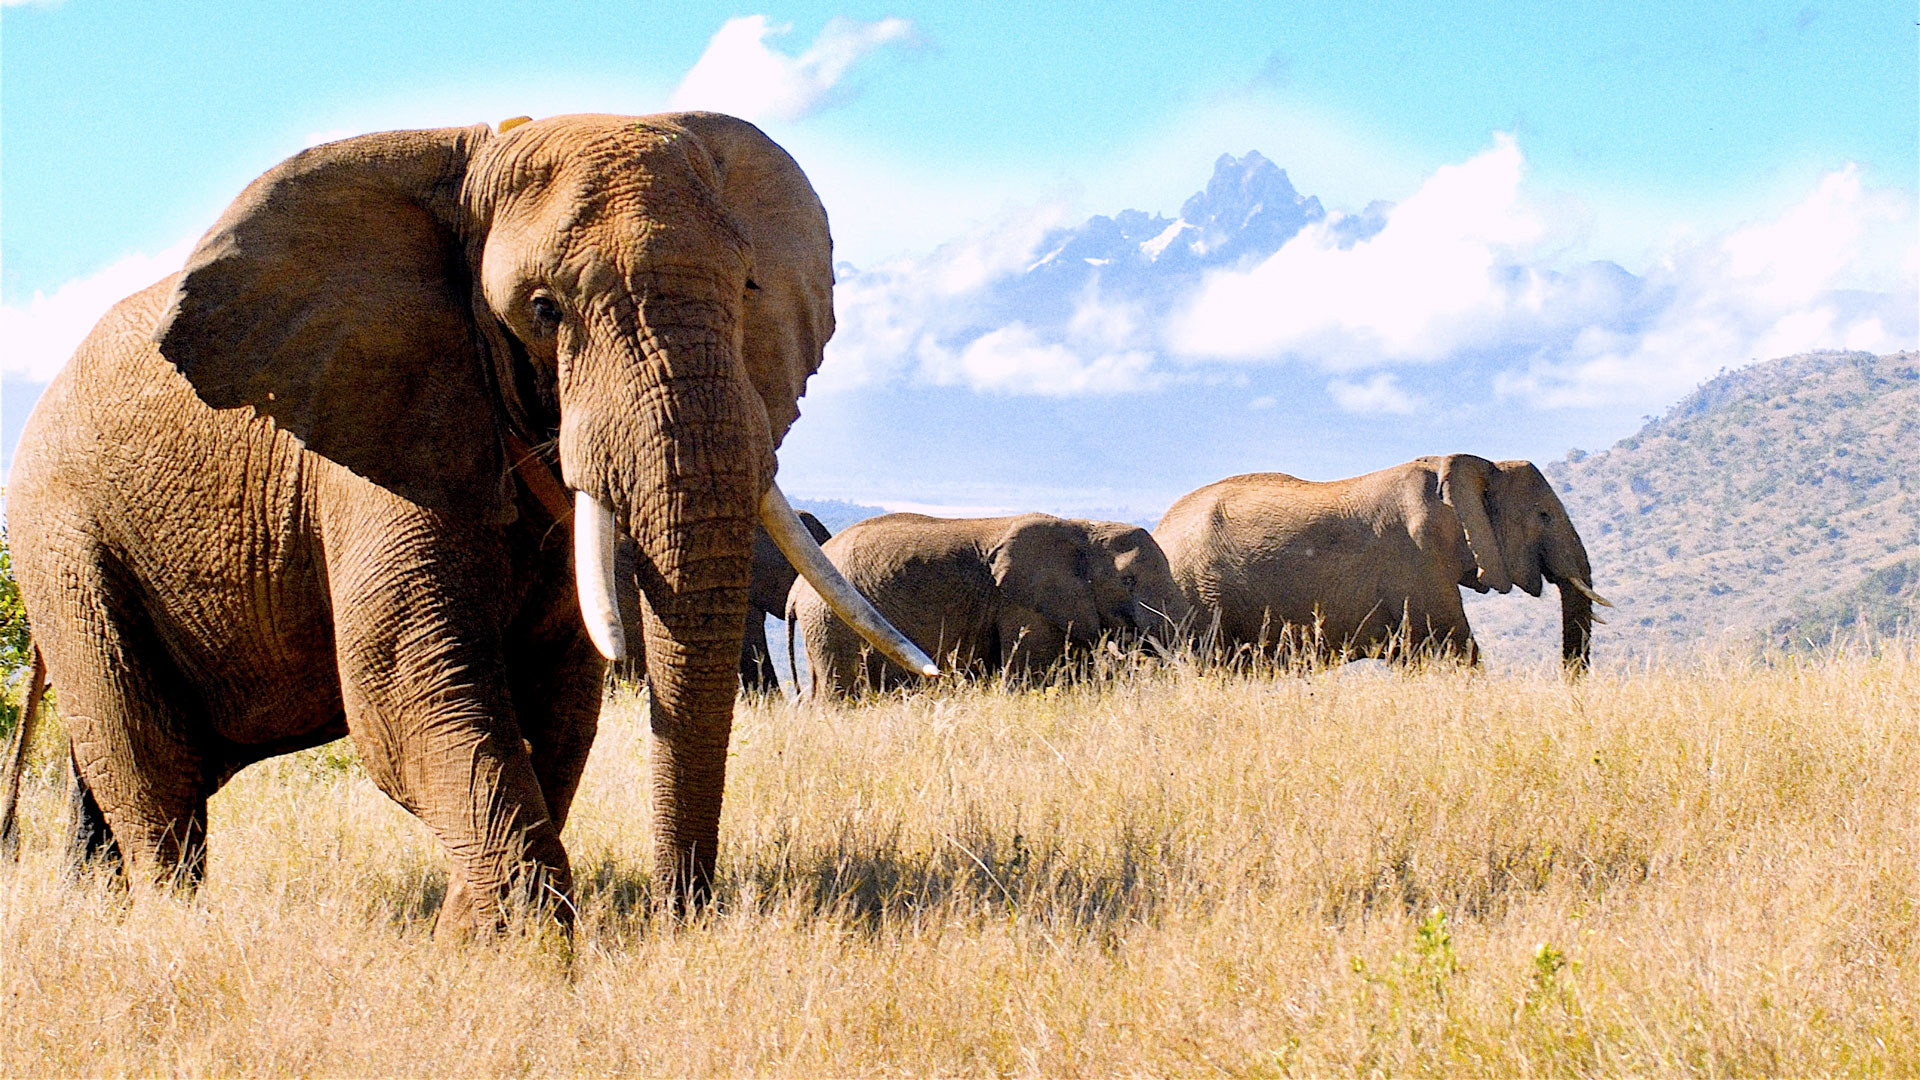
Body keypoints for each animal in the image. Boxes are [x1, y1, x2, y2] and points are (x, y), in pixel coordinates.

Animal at [1, 112, 931, 936]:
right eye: (546, 310)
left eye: (747, 289)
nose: (685, 915)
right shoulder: (377, 426)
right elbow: (405, 686)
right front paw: (517, 945)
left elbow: (558, 702)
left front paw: (472, 931)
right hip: (63, 535)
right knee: (145, 756)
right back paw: (173, 930)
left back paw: (98, 912)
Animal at [788, 513, 1191, 697]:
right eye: (1128, 581)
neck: (1082, 528)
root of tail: (795, 594)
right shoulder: (1022, 605)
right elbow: (1035, 676)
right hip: (831, 623)